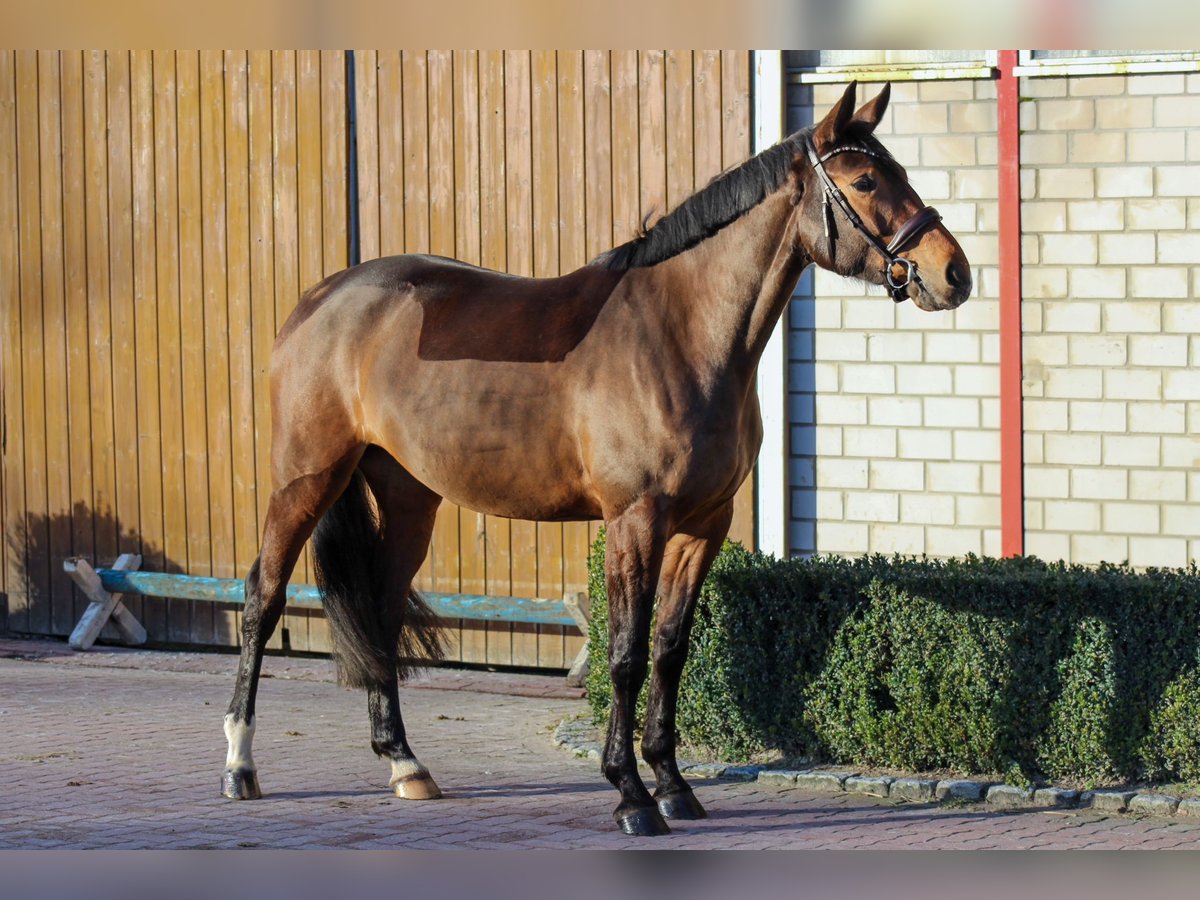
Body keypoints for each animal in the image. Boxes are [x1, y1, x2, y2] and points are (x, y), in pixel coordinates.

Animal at [223, 82, 974, 840]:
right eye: (866, 180)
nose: (954, 273)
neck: (680, 334)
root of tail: (321, 300)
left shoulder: (703, 526)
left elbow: (670, 649)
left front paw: (673, 785)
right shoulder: (634, 521)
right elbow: (625, 653)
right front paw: (630, 793)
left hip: (410, 498)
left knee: (379, 607)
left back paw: (405, 763)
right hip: (306, 481)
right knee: (263, 597)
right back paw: (240, 765)